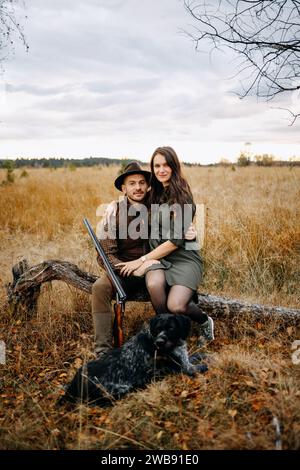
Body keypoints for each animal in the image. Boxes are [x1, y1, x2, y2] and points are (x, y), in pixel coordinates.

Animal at [59, 316, 207, 408]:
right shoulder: (183, 367)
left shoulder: (185, 359)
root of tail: (73, 386)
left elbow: (197, 355)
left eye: (171, 328)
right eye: (158, 329)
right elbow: (200, 365)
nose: (159, 342)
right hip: (120, 390)